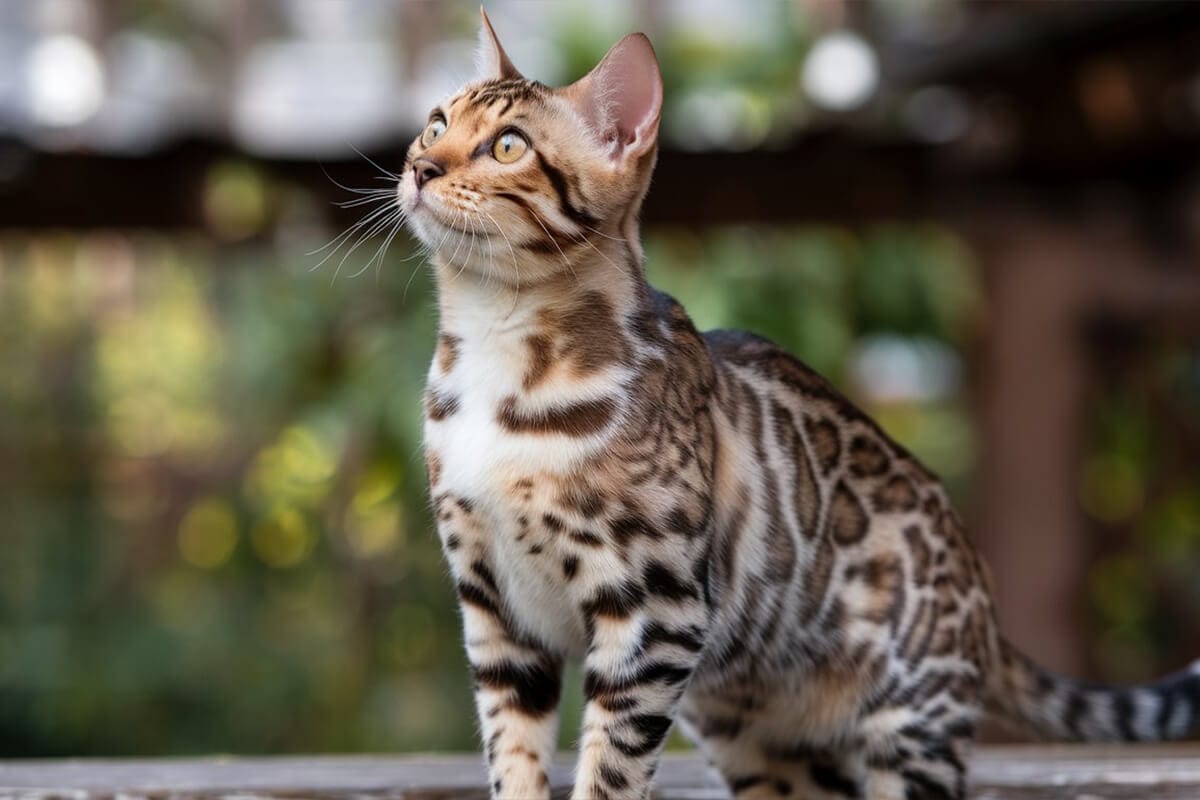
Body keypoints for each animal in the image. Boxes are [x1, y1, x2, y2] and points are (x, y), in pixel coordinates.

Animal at [398, 12, 1200, 800]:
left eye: (508, 145)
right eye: (436, 124)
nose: (418, 167)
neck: (497, 357)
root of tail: (984, 599)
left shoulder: (655, 611)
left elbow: (610, 769)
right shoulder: (496, 614)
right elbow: (513, 758)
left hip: (908, 731)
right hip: (758, 740)